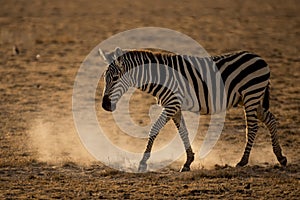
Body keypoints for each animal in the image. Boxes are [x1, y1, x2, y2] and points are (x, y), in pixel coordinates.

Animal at [99, 47, 288, 172]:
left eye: (115, 78)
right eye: (105, 79)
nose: (104, 105)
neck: (160, 77)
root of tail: (259, 58)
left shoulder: (172, 104)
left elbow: (154, 129)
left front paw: (143, 162)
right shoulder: (174, 106)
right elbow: (183, 132)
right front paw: (188, 161)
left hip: (251, 95)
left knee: (253, 128)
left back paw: (243, 161)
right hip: (252, 99)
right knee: (271, 120)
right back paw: (280, 157)